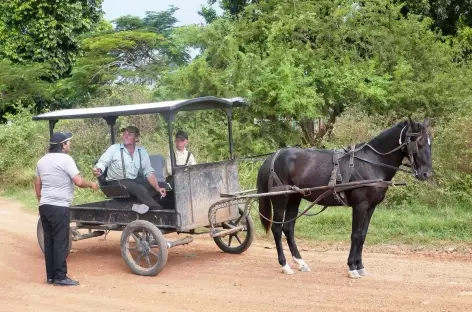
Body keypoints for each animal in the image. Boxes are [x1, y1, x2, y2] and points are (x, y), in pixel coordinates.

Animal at [258, 117, 432, 278]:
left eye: (430, 143)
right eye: (418, 143)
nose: (426, 174)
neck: (372, 163)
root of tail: (272, 157)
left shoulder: (371, 207)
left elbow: (362, 235)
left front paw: (360, 266)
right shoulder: (360, 205)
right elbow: (355, 235)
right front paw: (352, 267)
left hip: (295, 198)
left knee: (288, 228)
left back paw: (301, 263)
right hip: (281, 198)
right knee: (277, 229)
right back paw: (284, 265)